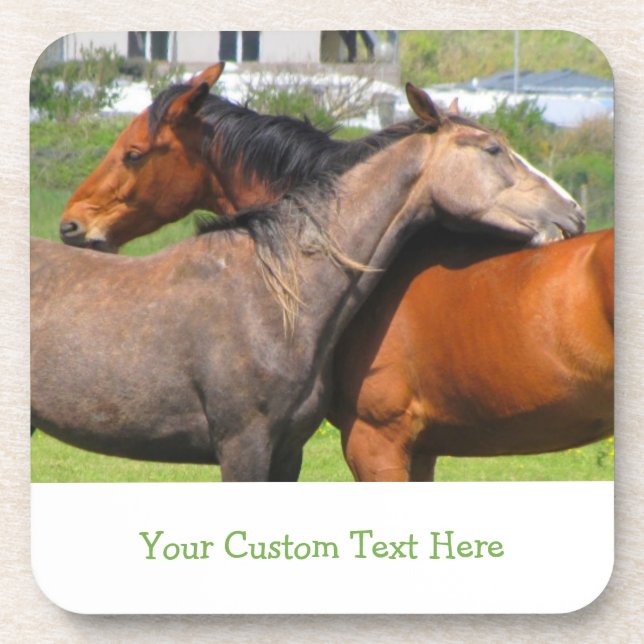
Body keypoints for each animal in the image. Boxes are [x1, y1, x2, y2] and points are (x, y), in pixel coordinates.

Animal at [31, 84, 585, 481]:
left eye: (133, 153)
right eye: (492, 150)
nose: (573, 214)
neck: (270, 293)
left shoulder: (289, 452)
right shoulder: (247, 448)